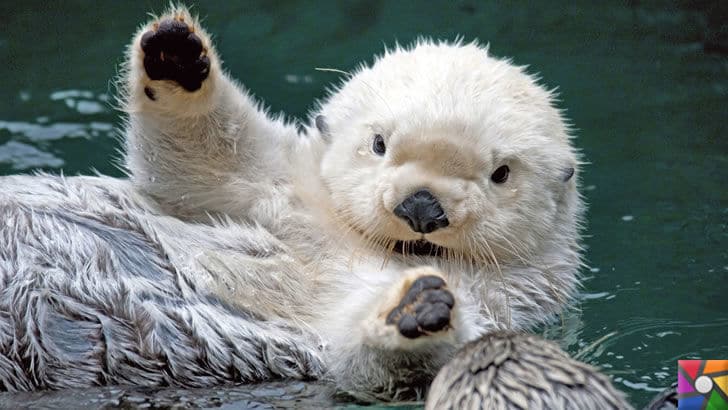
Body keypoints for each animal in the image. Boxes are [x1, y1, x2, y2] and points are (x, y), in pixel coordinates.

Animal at [0, 5, 584, 400]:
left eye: (501, 174)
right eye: (379, 144)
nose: (421, 208)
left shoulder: (499, 304)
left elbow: (369, 356)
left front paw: (415, 309)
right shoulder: (280, 191)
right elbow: (204, 161)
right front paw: (177, 57)